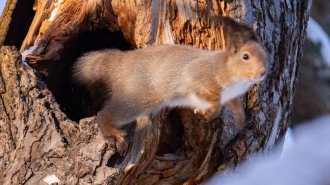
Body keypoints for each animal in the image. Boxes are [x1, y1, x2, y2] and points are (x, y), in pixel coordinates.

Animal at [72, 17, 268, 153]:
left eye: (265, 55)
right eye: (245, 56)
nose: (263, 72)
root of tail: (121, 62)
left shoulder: (231, 96)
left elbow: (234, 106)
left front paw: (239, 119)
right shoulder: (198, 75)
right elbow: (207, 94)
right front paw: (211, 110)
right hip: (137, 98)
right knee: (105, 114)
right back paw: (113, 134)